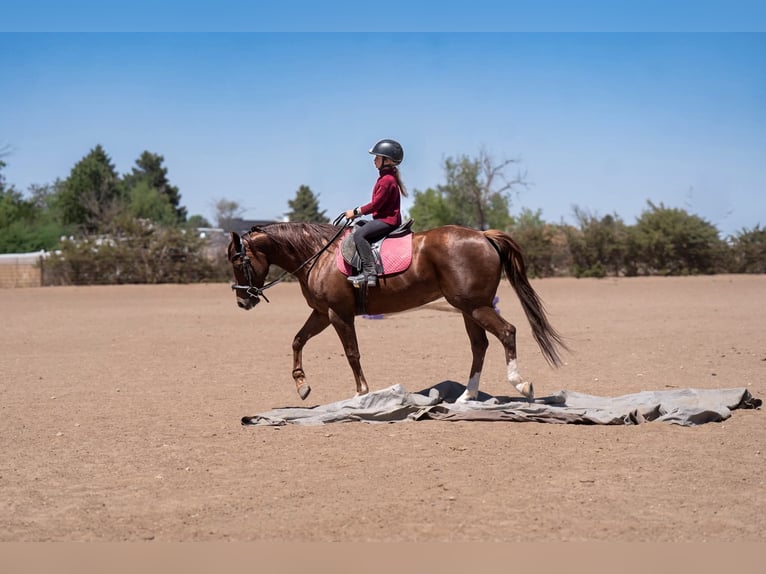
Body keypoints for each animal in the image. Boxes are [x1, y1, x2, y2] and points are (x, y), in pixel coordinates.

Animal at [227, 221, 566, 403]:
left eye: (236, 260)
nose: (243, 301)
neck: (317, 255)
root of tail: (483, 236)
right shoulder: (322, 314)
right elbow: (297, 341)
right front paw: (302, 386)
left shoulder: (338, 315)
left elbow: (352, 353)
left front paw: (361, 393)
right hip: (468, 308)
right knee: (479, 345)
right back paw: (467, 396)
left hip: (476, 306)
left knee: (506, 332)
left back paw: (520, 384)